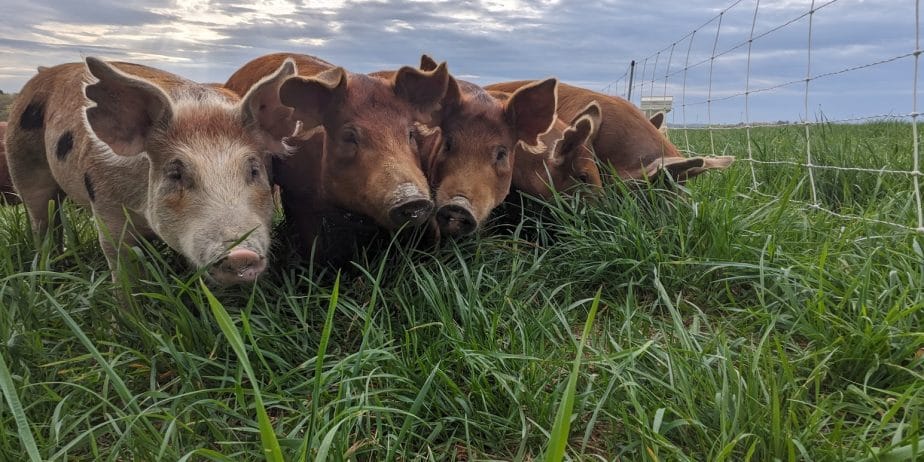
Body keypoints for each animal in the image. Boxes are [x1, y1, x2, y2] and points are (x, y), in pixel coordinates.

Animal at [4, 56, 296, 284]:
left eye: (254, 170)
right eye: (175, 174)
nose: (240, 255)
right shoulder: (106, 207)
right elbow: (123, 270)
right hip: (21, 163)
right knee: (42, 219)